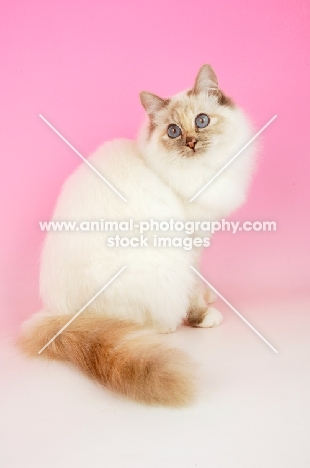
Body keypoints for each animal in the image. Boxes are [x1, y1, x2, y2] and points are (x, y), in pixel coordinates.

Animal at [18, 65, 256, 406]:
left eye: (201, 121)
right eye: (173, 131)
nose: (191, 142)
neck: (198, 172)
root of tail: (60, 315)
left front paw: (208, 296)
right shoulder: (189, 242)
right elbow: (193, 289)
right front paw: (202, 315)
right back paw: (166, 326)